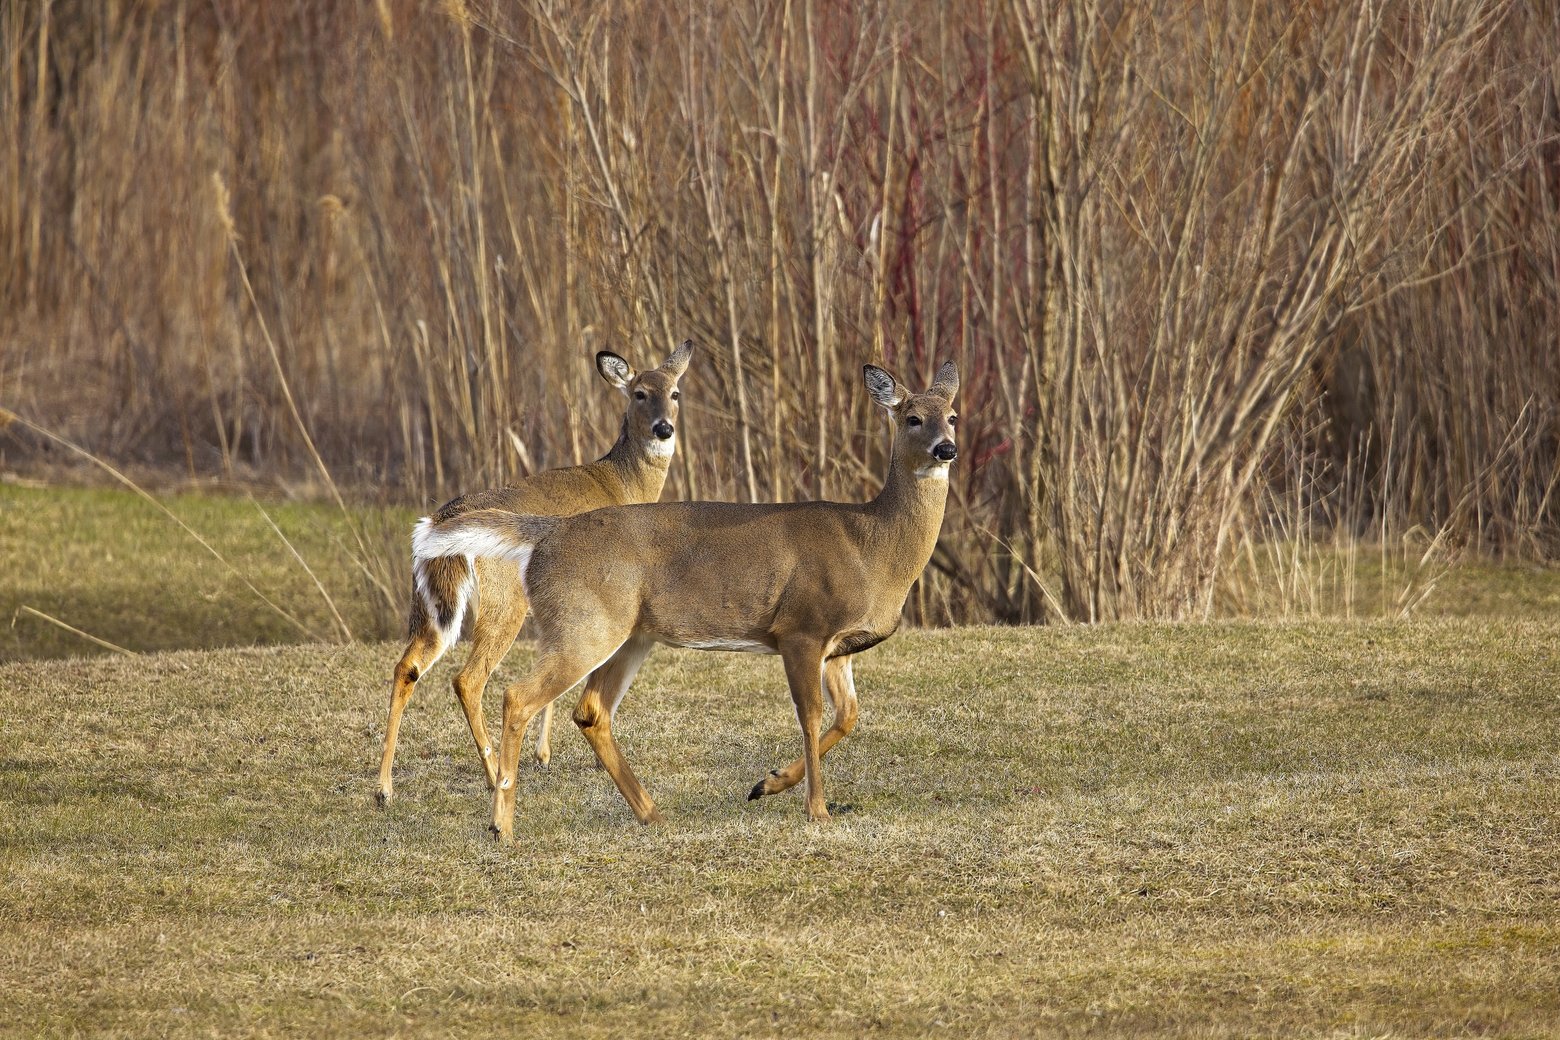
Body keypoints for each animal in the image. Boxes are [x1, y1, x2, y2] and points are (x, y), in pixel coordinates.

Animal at [374, 341, 694, 806]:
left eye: (674, 393)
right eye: (639, 393)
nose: (663, 429)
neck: (622, 483)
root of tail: (437, 521)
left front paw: (544, 753)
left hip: (431, 602)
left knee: (407, 667)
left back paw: (383, 788)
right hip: (504, 601)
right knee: (468, 679)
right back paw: (494, 775)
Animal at [409, 360, 959, 841]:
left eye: (952, 414)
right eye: (912, 417)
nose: (947, 448)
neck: (874, 546)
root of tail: (546, 534)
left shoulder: (838, 646)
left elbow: (848, 716)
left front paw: (766, 784)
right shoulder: (801, 627)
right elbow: (811, 716)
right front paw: (817, 810)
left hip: (628, 633)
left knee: (590, 710)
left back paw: (651, 813)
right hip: (584, 624)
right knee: (516, 695)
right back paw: (501, 824)